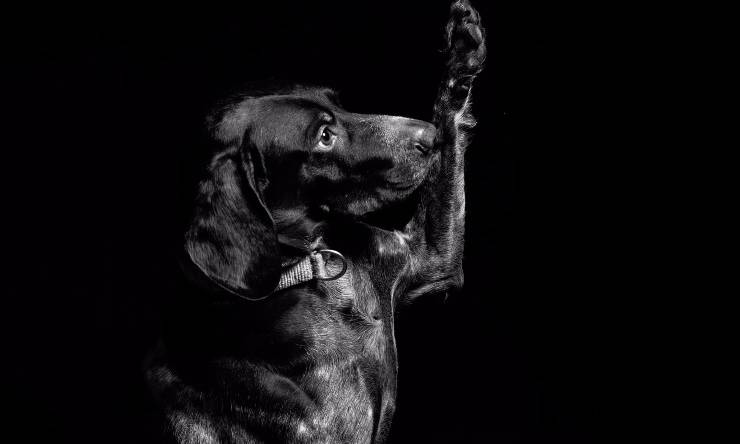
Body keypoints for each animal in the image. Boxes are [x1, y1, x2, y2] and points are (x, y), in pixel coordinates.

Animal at [146, 1, 486, 442]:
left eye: (340, 104)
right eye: (325, 136)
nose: (430, 138)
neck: (317, 270)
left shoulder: (432, 258)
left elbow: (452, 118)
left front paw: (462, 52)